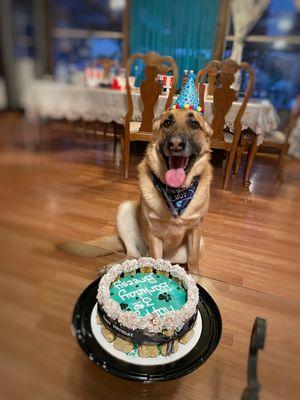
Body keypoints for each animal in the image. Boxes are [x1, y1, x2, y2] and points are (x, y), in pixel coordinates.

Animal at [59, 108, 212, 274]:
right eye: (167, 123)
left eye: (194, 124)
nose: (175, 144)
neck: (177, 195)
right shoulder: (153, 233)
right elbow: (156, 258)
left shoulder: (195, 231)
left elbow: (193, 260)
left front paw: (196, 277)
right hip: (125, 210)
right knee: (133, 255)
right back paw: (113, 267)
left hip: (198, 244)